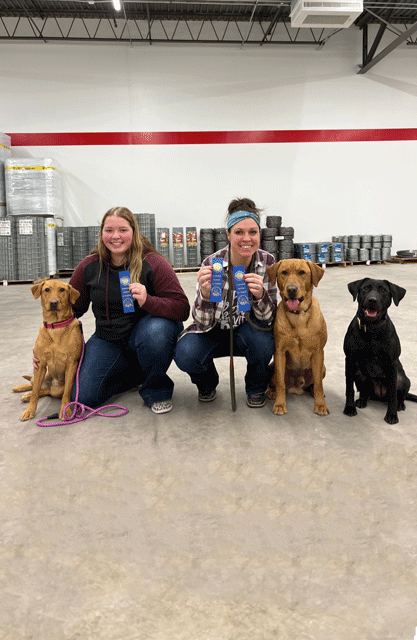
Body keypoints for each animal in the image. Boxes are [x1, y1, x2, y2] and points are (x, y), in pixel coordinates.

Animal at [342, 276, 416, 422]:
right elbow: (349, 388)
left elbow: (393, 394)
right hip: (359, 374)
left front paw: (392, 415)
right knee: (364, 392)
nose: (372, 300)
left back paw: (400, 405)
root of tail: (379, 395)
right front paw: (350, 408)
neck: (371, 329)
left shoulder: (392, 363)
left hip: (403, 379)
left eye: (383, 290)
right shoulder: (350, 359)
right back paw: (362, 400)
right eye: (365, 288)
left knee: (400, 396)